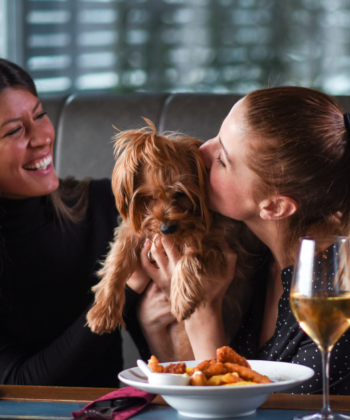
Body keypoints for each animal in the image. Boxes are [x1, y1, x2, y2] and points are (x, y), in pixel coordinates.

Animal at [86, 119, 253, 334]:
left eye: (181, 194)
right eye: (149, 197)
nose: (166, 229)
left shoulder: (226, 252)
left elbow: (192, 256)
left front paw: (181, 299)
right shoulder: (133, 230)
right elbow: (117, 260)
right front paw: (103, 312)